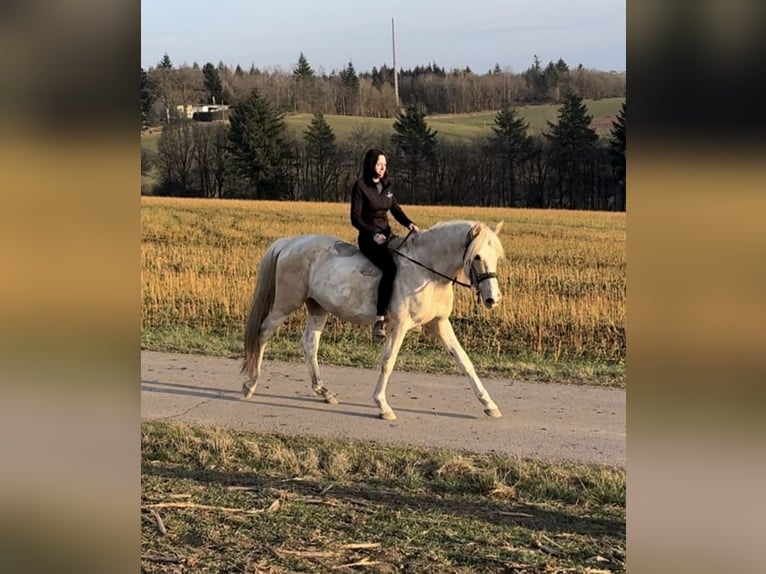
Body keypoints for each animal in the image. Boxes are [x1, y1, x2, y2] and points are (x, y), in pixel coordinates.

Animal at [240, 220, 504, 424]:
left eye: (497, 257)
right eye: (477, 256)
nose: (492, 299)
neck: (428, 272)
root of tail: (289, 243)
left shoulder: (439, 323)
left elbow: (464, 361)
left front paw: (489, 405)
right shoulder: (399, 325)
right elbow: (388, 362)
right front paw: (383, 406)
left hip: (318, 308)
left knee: (309, 345)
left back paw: (325, 392)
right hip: (286, 304)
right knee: (264, 332)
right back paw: (250, 384)